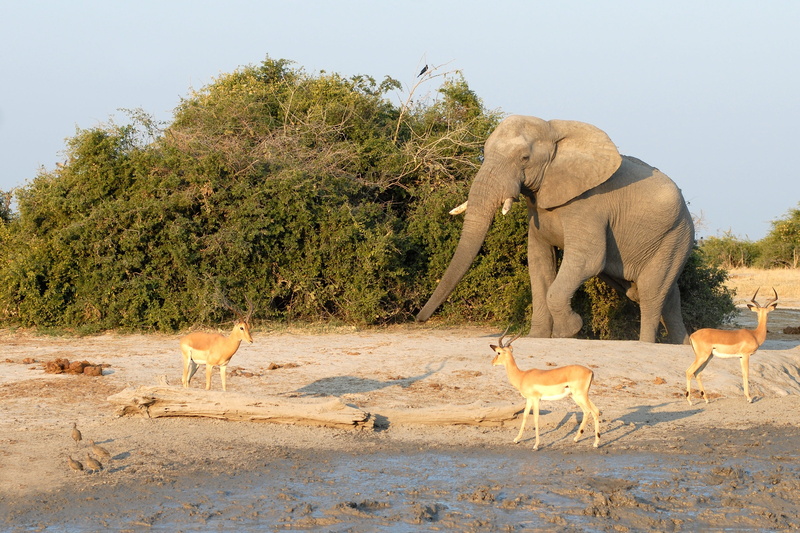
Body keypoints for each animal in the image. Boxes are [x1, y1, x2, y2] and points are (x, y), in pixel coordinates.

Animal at [416, 115, 694, 344]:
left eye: (524, 158)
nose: (418, 319)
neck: (554, 132)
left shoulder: (588, 205)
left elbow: (588, 260)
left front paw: (568, 332)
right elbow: (539, 261)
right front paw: (538, 337)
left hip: (676, 236)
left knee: (649, 292)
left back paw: (646, 344)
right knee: (664, 295)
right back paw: (682, 345)